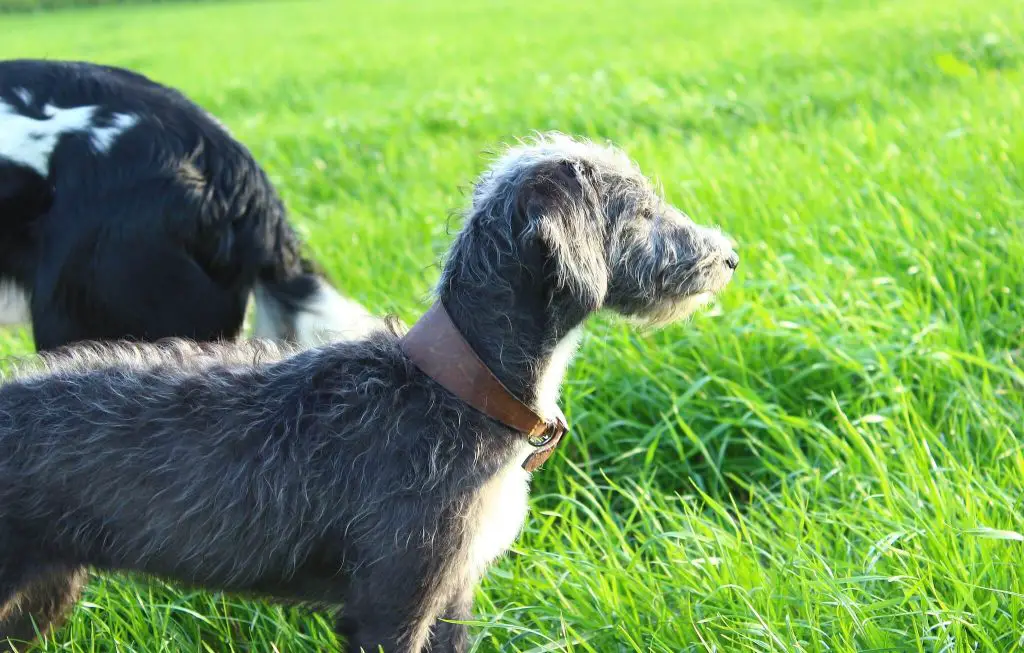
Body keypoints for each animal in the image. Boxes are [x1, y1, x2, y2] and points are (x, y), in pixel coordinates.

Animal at [0, 134, 737, 653]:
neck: (458, 388)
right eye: (641, 210)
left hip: (41, 594)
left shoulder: (453, 595)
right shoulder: (391, 605)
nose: (729, 255)